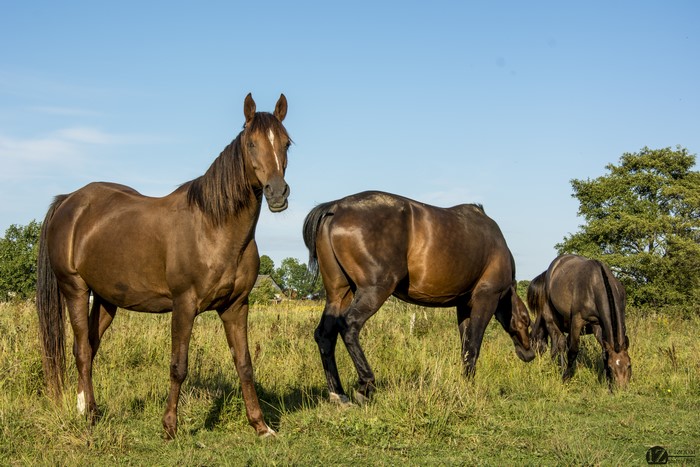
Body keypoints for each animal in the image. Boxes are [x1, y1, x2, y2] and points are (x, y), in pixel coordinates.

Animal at [36, 93, 291, 438]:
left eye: (287, 143)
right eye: (251, 144)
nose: (277, 193)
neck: (214, 227)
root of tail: (68, 202)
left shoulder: (236, 306)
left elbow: (244, 364)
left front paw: (261, 426)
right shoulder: (184, 305)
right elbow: (178, 366)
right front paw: (170, 426)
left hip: (104, 300)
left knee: (89, 346)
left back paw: (86, 407)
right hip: (75, 290)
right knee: (82, 351)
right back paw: (89, 415)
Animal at [302, 191, 535, 404]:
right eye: (526, 320)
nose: (530, 354)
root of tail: (335, 208)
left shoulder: (463, 307)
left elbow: (465, 346)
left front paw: (465, 383)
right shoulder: (486, 300)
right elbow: (474, 345)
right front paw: (470, 388)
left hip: (339, 294)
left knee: (325, 335)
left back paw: (338, 394)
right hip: (374, 290)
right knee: (349, 326)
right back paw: (365, 385)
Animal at [527, 254, 631, 388]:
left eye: (629, 365)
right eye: (612, 368)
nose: (622, 388)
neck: (597, 284)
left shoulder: (599, 325)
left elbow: (604, 351)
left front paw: (607, 383)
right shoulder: (577, 322)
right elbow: (572, 351)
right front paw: (566, 377)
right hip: (552, 319)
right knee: (560, 343)